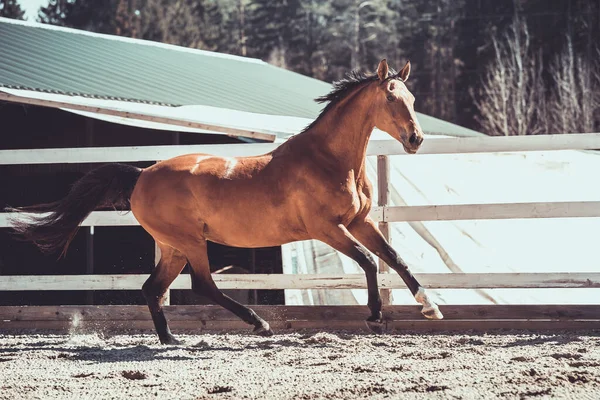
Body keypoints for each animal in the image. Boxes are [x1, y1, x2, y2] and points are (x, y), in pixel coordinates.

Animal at [7, 59, 442, 344]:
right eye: (391, 99)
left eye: (412, 97)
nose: (416, 139)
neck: (329, 160)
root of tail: (142, 175)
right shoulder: (327, 229)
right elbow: (369, 262)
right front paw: (374, 316)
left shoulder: (358, 223)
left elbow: (395, 258)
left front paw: (429, 307)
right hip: (190, 242)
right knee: (203, 285)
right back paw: (257, 324)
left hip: (173, 246)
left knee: (152, 288)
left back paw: (171, 339)